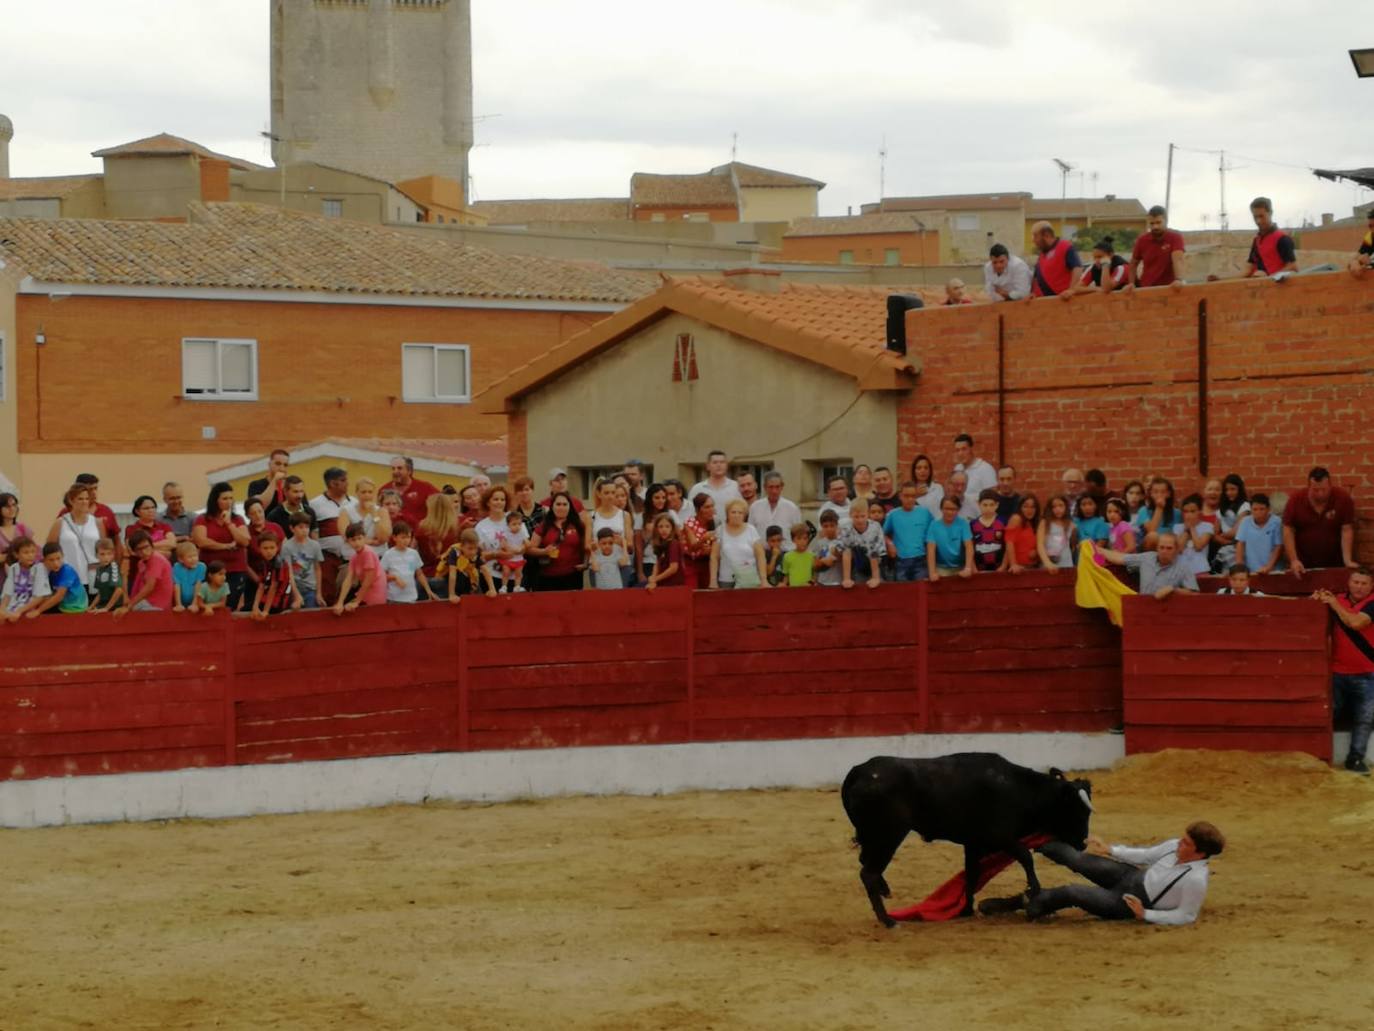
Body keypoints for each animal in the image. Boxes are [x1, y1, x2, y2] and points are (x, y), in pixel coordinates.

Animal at [835, 753, 1093, 929]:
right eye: (1078, 812)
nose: (1083, 844)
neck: (1019, 790)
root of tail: (859, 770)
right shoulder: (999, 836)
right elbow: (1025, 856)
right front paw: (1036, 895)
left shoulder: (973, 843)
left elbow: (971, 874)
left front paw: (966, 909)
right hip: (889, 834)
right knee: (868, 872)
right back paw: (888, 920)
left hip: (874, 836)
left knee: (866, 864)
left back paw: (886, 894)